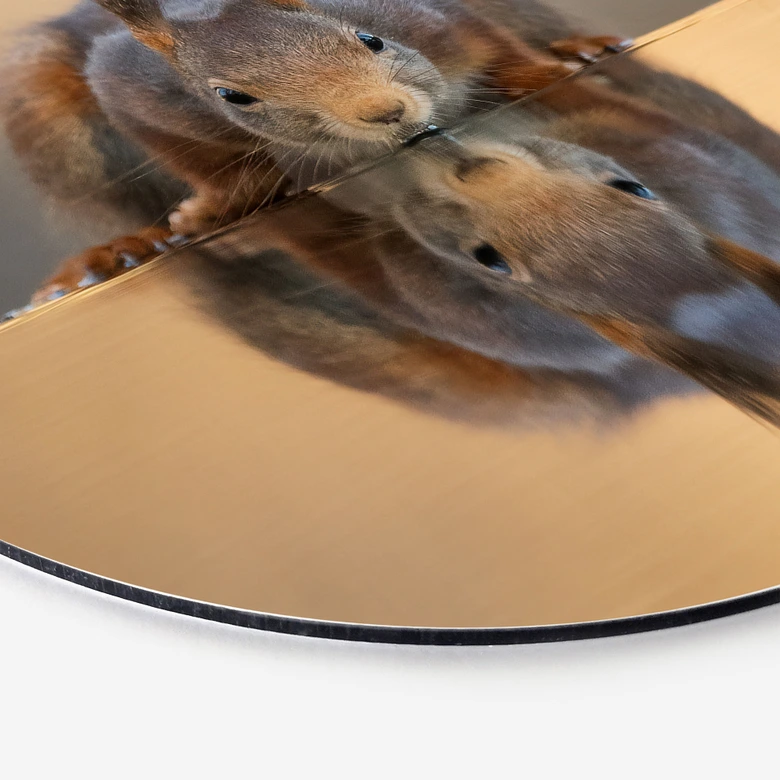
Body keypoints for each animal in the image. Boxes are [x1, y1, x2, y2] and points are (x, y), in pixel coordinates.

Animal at [0, 0, 630, 302]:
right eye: (233, 95)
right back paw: (117, 251)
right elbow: (208, 164)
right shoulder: (138, 88)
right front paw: (213, 210)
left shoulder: (428, 18)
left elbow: (495, 46)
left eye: (369, 40)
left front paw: (557, 67)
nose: (386, 111)